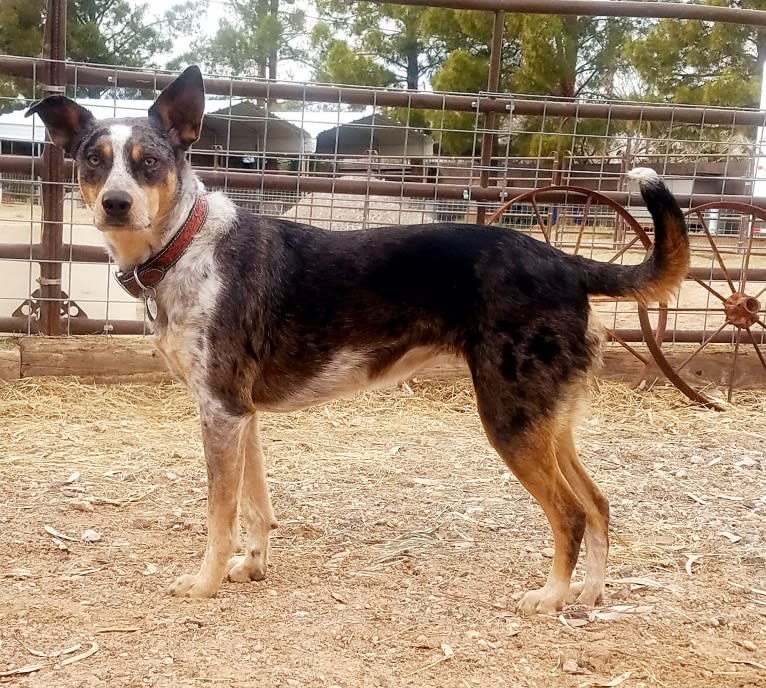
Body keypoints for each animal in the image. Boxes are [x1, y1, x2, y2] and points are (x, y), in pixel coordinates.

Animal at [28, 66, 688, 612]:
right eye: (92, 161)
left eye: (149, 163)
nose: (116, 204)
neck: (185, 246)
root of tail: (564, 261)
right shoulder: (240, 415)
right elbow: (256, 506)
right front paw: (252, 566)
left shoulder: (219, 411)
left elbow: (220, 515)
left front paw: (206, 583)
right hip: (551, 420)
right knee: (599, 505)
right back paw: (589, 596)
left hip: (511, 418)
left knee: (570, 514)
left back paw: (550, 597)